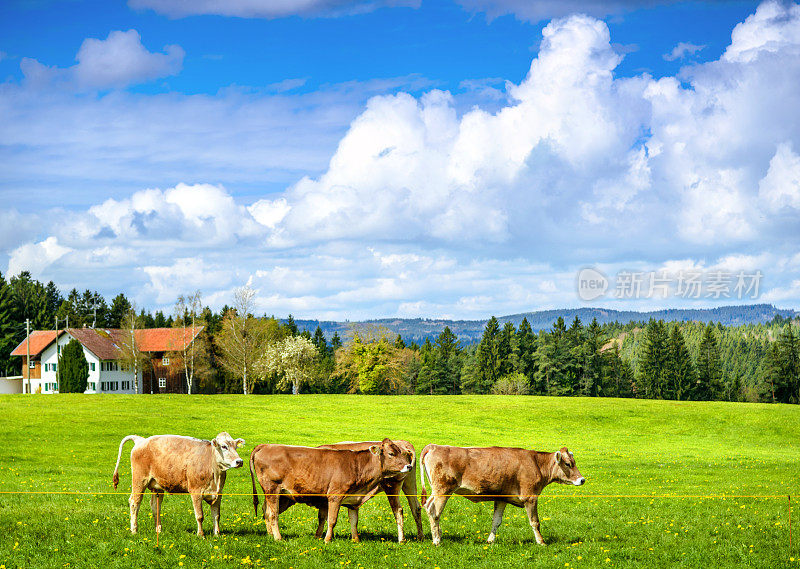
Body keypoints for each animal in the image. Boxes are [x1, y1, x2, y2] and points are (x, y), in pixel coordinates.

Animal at [111, 432, 245, 536]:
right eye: (224, 446)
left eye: (235, 447)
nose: (239, 461)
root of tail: (141, 440)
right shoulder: (196, 491)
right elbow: (199, 516)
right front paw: (200, 535)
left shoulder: (218, 493)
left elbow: (216, 515)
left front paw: (217, 534)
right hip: (139, 480)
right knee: (135, 502)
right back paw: (134, 530)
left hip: (157, 486)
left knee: (155, 506)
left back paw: (158, 530)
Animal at [250, 440, 412, 540]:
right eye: (391, 453)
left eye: (401, 452)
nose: (409, 466)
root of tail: (265, 445)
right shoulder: (335, 496)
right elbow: (332, 520)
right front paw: (327, 539)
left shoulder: (353, 501)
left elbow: (354, 521)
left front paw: (356, 540)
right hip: (272, 488)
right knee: (273, 514)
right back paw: (278, 538)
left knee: (267, 512)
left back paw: (270, 535)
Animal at [418, 444, 588, 544]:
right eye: (568, 464)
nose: (582, 479)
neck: (536, 463)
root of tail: (434, 446)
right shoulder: (530, 498)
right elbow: (535, 522)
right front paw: (541, 542)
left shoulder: (502, 498)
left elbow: (496, 521)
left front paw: (490, 540)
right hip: (442, 491)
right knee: (435, 512)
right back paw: (437, 540)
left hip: (436, 491)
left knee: (428, 507)